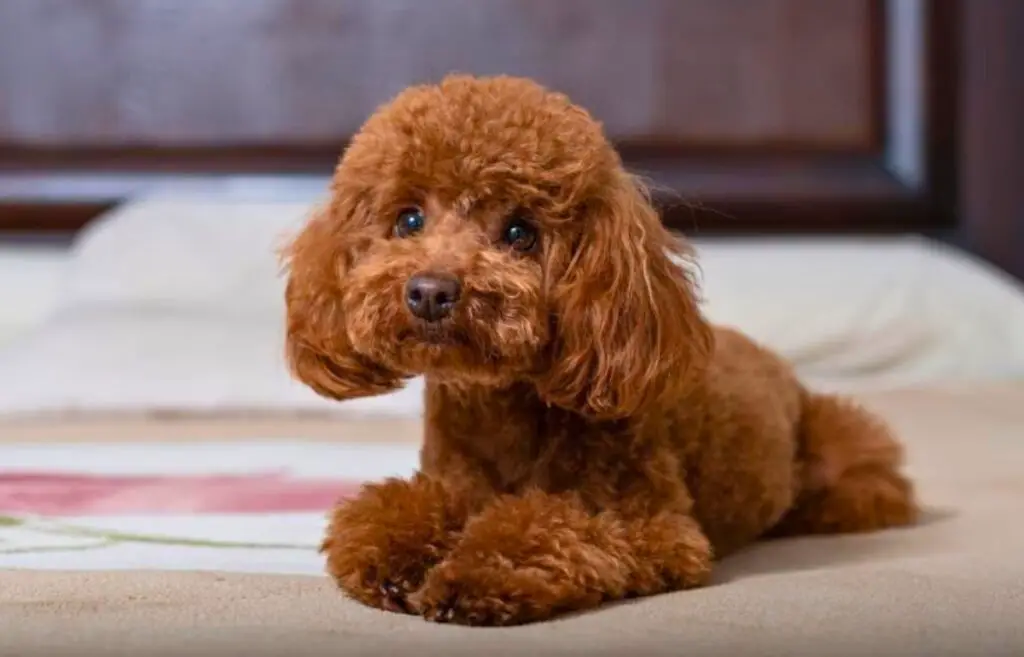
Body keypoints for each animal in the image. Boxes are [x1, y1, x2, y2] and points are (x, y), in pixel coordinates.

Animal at [282, 74, 921, 622]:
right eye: (409, 220)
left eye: (520, 233)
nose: (431, 292)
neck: (505, 412)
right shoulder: (452, 481)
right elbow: (384, 515)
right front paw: (398, 558)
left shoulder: (659, 530)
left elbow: (550, 525)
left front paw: (470, 574)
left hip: (847, 448)